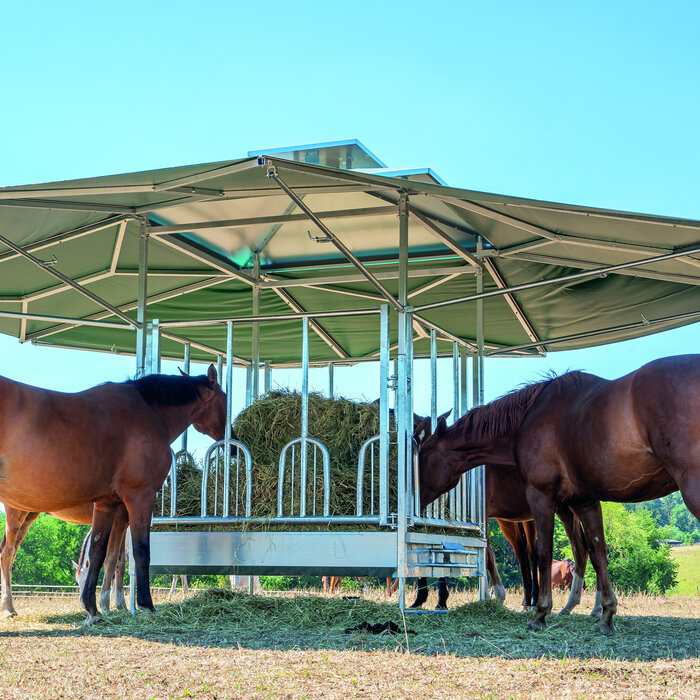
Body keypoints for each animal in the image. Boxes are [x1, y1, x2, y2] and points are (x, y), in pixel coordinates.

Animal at [0, 366, 227, 623]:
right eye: (225, 398)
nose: (230, 434)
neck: (149, 411)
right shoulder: (139, 499)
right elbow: (139, 552)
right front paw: (142, 604)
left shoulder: (109, 505)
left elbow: (102, 554)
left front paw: (97, 607)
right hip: (18, 513)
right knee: (7, 553)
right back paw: (8, 606)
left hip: (29, 514)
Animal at [415, 355, 700, 635]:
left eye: (422, 455)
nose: (414, 499)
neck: (527, 419)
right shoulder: (584, 501)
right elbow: (597, 552)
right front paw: (606, 615)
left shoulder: (539, 498)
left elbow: (541, 552)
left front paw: (539, 611)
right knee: (583, 551)